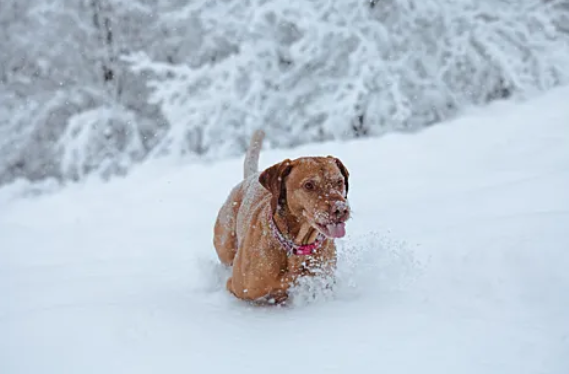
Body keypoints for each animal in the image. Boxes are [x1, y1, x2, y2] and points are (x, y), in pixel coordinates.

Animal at [212, 129, 348, 304]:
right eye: (309, 185)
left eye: (339, 182)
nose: (341, 209)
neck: (297, 245)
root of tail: (249, 178)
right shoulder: (237, 289)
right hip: (225, 245)